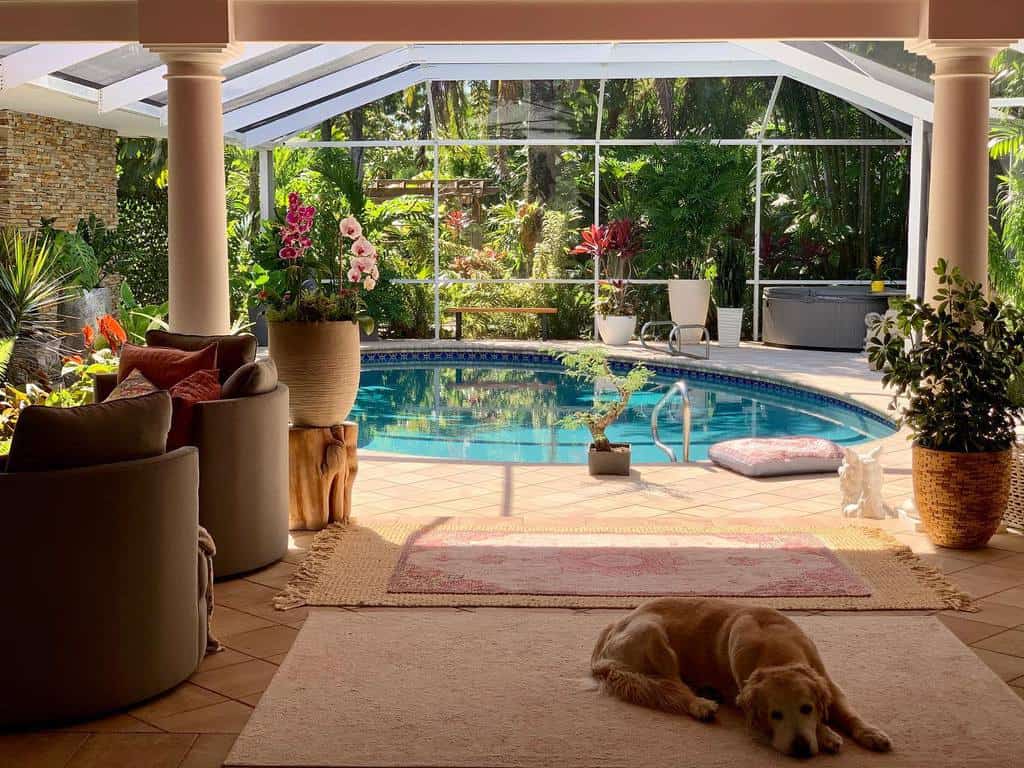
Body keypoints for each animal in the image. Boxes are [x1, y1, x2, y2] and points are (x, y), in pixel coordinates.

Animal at [589, 598, 892, 753]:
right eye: (774, 715)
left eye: (806, 708)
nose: (800, 747)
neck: (775, 647)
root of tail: (613, 624)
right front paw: (826, 733)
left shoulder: (828, 681)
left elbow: (847, 712)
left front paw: (869, 732)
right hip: (654, 635)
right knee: (674, 687)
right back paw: (701, 703)